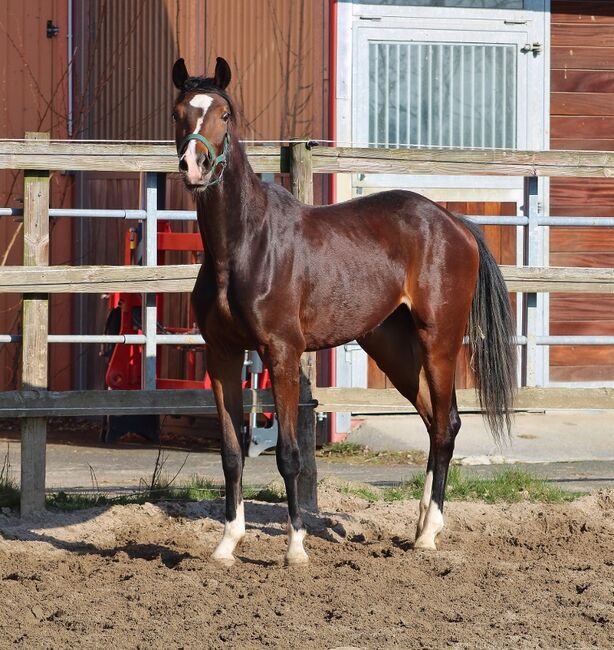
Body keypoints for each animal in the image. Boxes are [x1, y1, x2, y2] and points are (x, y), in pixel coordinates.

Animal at [171, 57, 516, 560]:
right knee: (434, 423)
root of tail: (455, 222)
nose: (193, 166)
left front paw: (296, 548)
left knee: (447, 425)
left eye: (225, 114)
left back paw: (430, 532)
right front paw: (227, 544)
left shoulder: (283, 354)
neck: (243, 247)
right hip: (392, 348)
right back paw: (419, 527)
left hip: (440, 340)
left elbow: (289, 455)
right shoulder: (222, 355)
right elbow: (232, 454)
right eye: (180, 113)